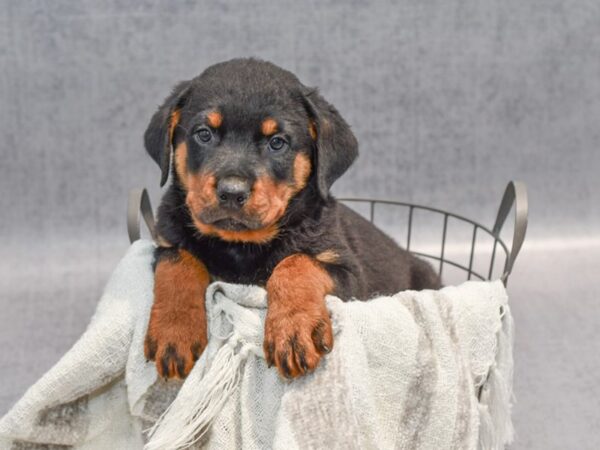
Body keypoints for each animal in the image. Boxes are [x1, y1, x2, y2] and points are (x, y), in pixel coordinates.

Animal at [142, 56, 440, 380]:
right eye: (204, 134)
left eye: (277, 142)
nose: (232, 192)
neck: (240, 247)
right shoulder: (165, 240)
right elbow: (178, 262)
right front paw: (174, 330)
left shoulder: (350, 274)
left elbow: (296, 263)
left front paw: (293, 329)